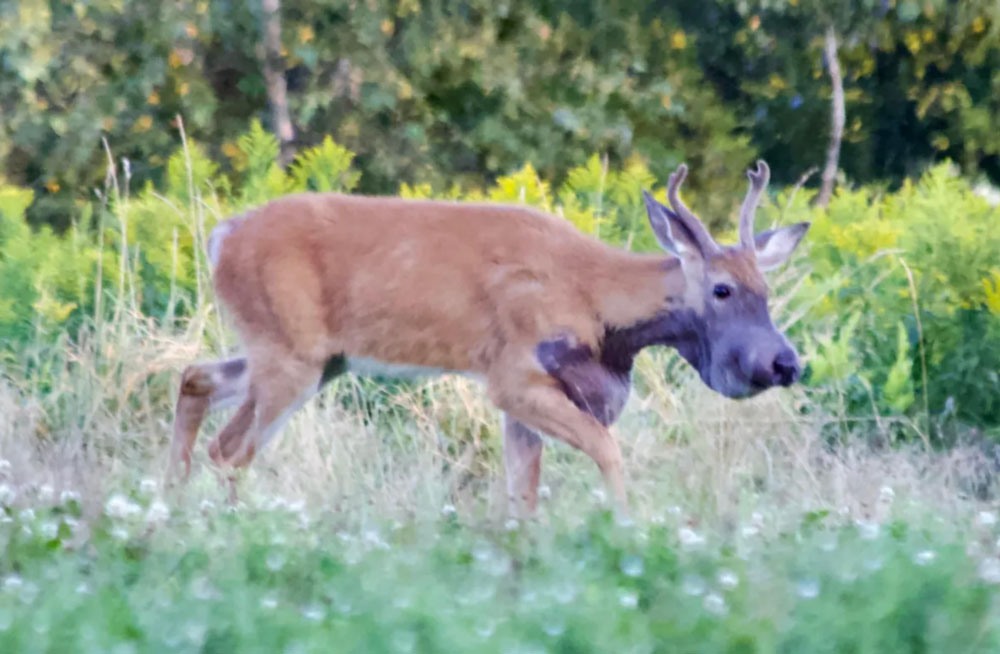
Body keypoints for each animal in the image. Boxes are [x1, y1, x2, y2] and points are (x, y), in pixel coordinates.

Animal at [168, 160, 808, 516]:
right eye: (723, 289)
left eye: (767, 290)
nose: (785, 363)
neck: (596, 303)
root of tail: (222, 238)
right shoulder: (514, 376)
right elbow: (606, 450)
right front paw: (629, 534)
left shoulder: (523, 403)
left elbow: (522, 497)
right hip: (291, 356)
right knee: (230, 450)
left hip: (316, 358)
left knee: (195, 378)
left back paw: (168, 507)